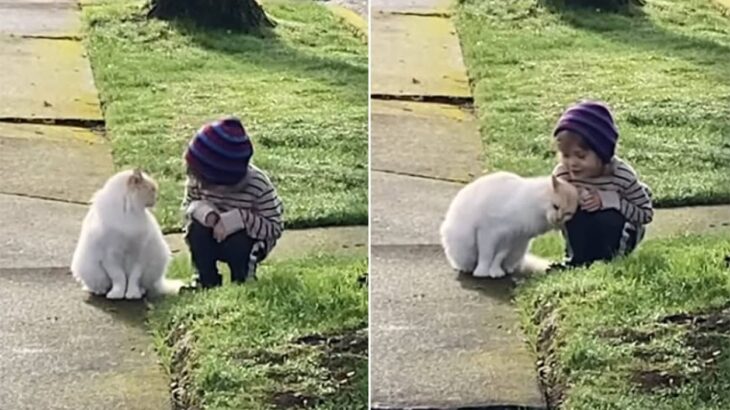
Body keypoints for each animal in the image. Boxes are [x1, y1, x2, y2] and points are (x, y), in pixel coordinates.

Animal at [70, 168, 183, 300]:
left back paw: (140, 291)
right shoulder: (110, 257)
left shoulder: (138, 256)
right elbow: (119, 278)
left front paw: (132, 294)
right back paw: (101, 291)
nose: (157, 198)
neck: (129, 213)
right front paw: (117, 294)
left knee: (144, 285)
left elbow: (133, 279)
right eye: (152, 189)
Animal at [438, 170, 580, 278]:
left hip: (519, 248)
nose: (558, 219)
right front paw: (482, 272)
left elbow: (498, 256)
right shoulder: (488, 232)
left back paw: (508, 269)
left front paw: (495, 272)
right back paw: (468, 268)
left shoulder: (511, 239)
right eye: (555, 206)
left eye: (568, 213)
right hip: (464, 245)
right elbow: (486, 254)